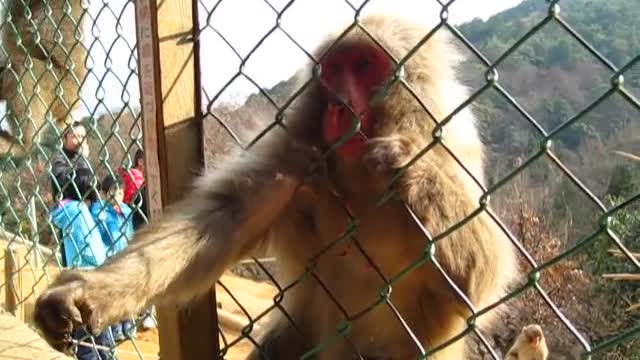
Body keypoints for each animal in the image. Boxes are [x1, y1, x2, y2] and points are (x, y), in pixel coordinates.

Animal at [32, 13, 516, 358]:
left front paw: (404, 162)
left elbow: (477, 282)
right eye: (335, 69)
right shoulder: (295, 151)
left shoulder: (453, 147)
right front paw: (88, 293)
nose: (338, 102)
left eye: (364, 65)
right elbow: (220, 220)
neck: (358, 179)